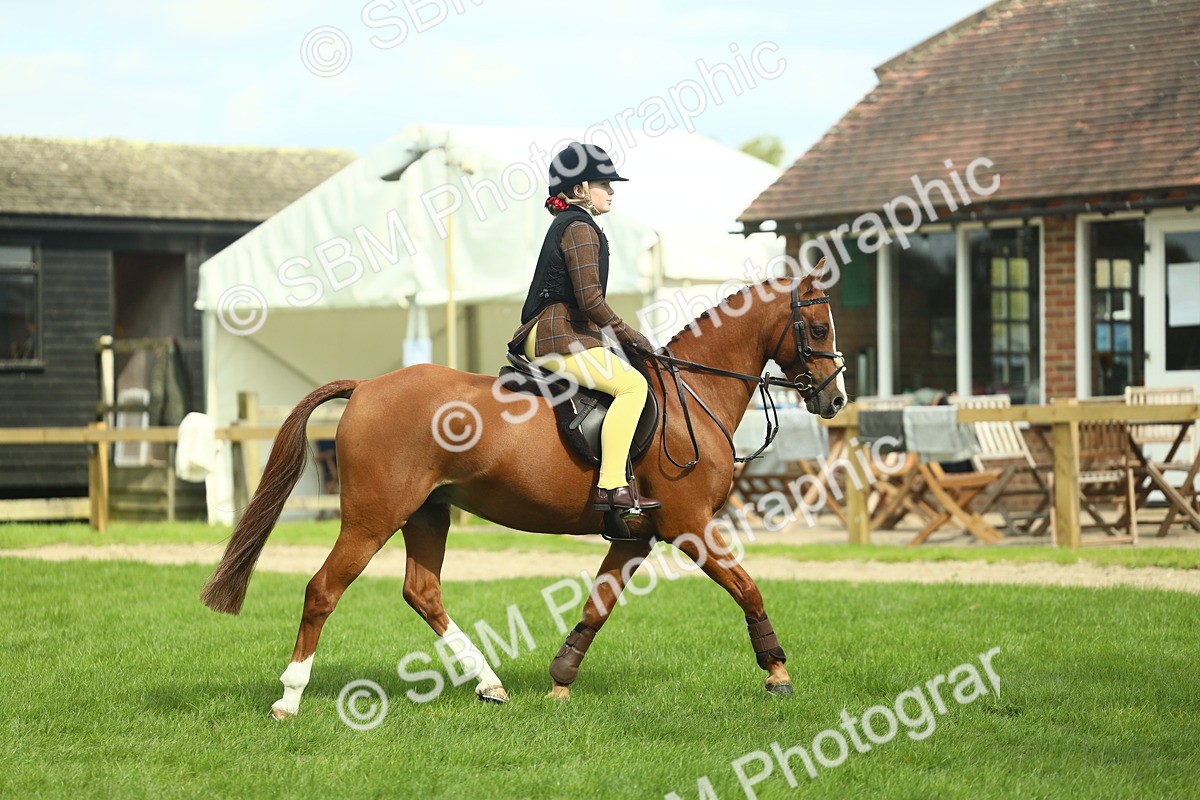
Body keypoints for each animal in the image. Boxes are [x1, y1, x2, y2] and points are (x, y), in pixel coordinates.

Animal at [200, 272, 847, 718]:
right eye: (817, 329)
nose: (835, 399)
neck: (693, 391)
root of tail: (366, 387)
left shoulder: (636, 536)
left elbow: (597, 605)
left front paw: (560, 679)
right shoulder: (690, 525)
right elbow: (747, 587)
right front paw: (777, 671)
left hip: (427, 513)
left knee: (422, 592)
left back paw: (490, 683)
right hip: (371, 518)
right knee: (323, 591)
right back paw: (289, 698)